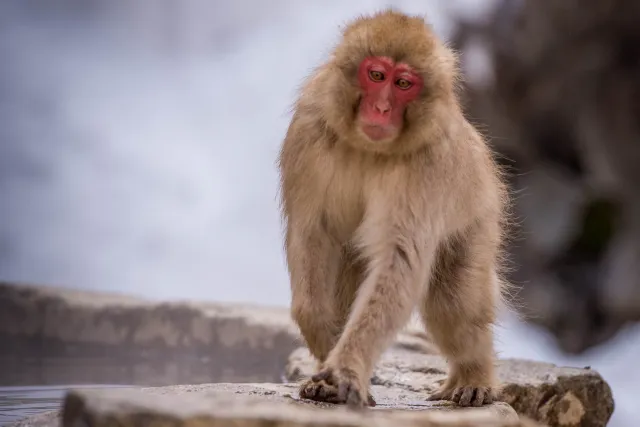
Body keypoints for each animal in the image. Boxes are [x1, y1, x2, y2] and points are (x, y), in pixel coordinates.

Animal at [276, 8, 510, 412]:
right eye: (376, 75)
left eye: (403, 83)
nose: (382, 108)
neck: (367, 148)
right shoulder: (308, 132)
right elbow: (312, 233)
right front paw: (322, 338)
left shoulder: (430, 163)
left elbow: (398, 259)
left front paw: (347, 366)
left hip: (478, 222)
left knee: (454, 306)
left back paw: (473, 376)